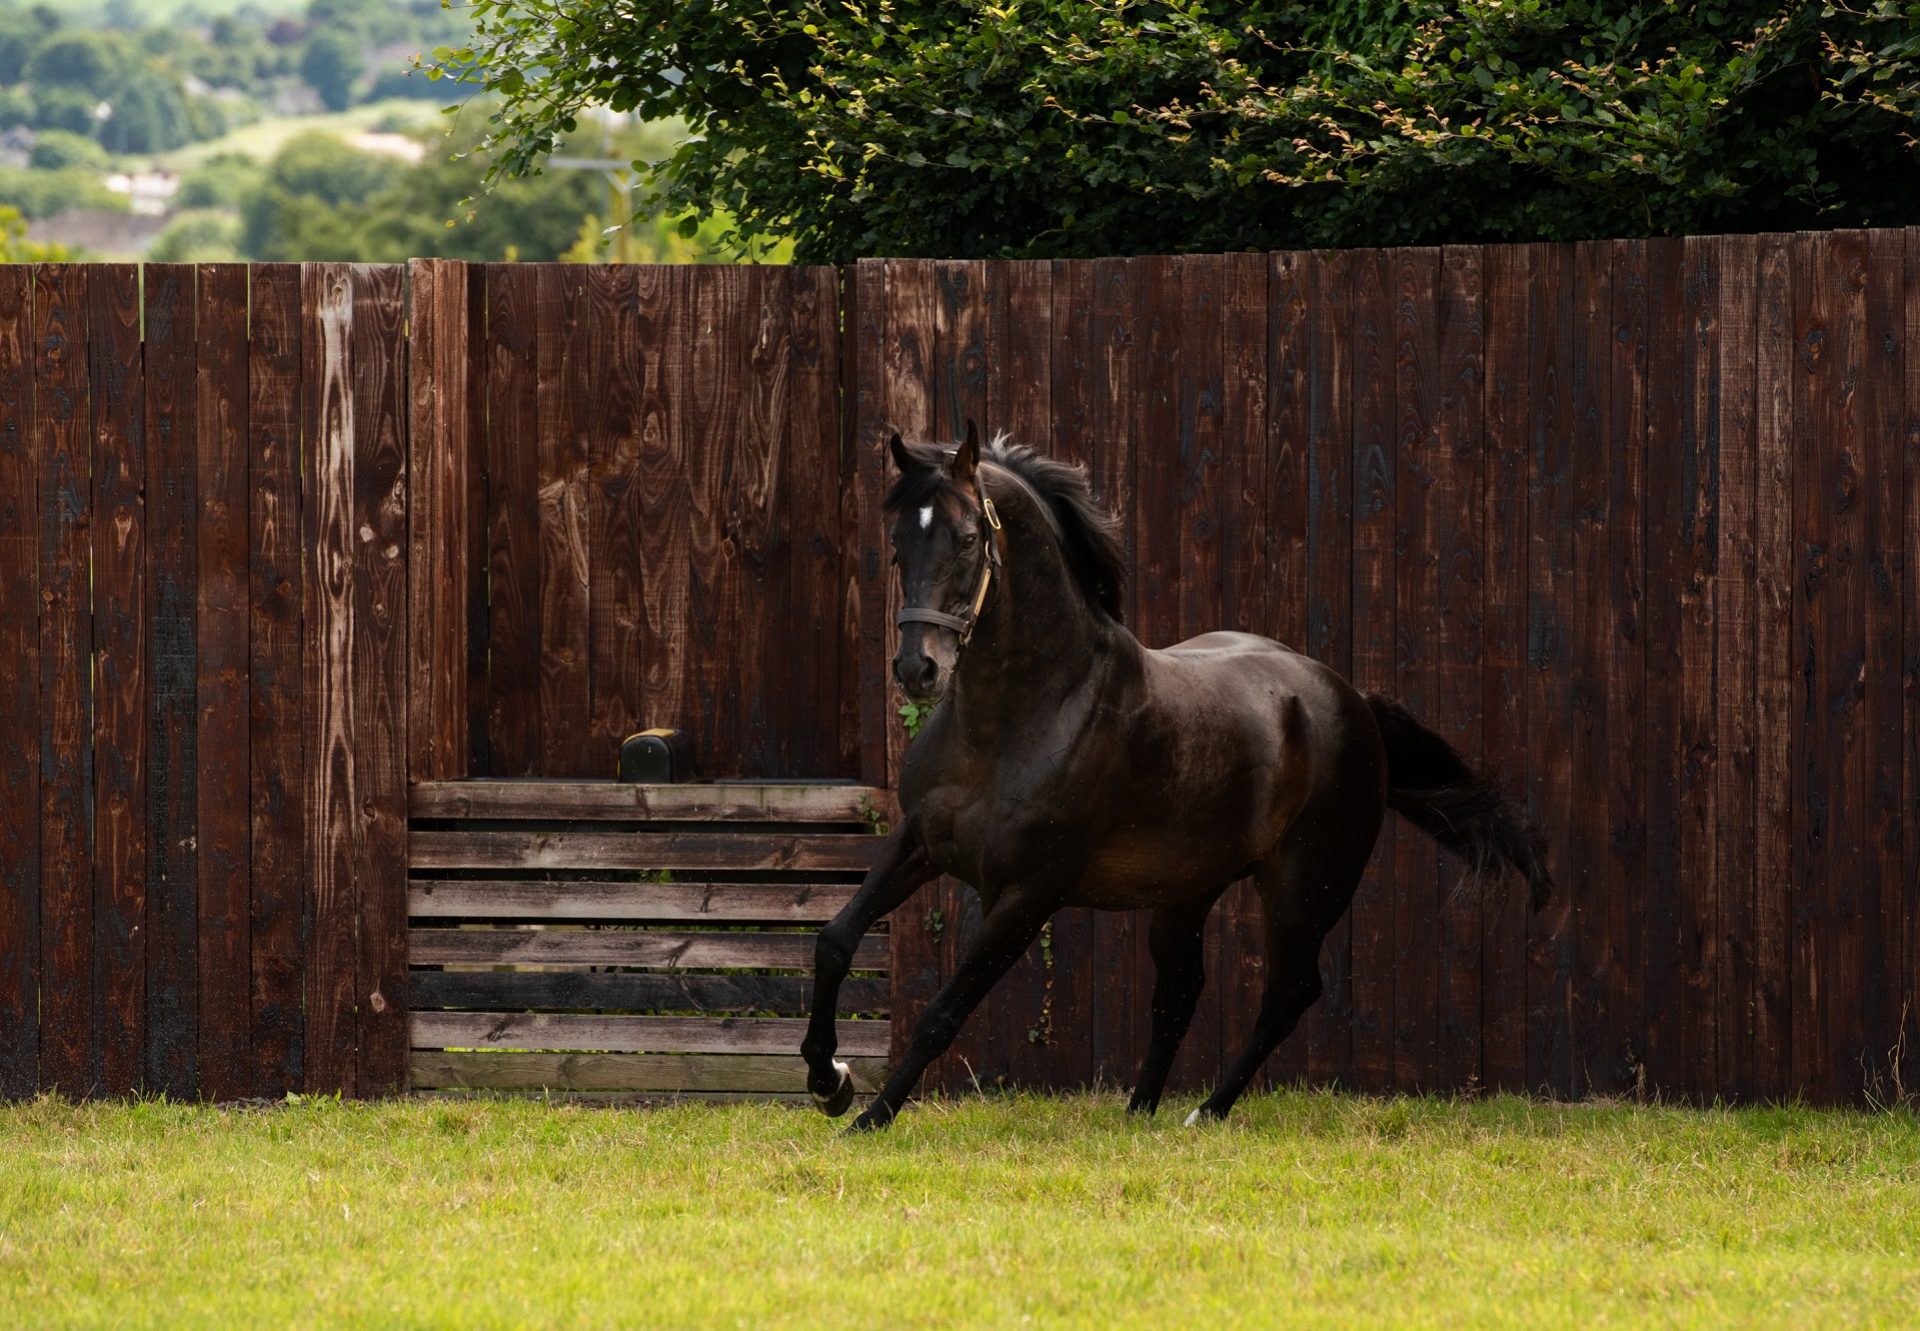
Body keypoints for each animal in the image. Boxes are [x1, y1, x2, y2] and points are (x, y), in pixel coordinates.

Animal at [802, 426, 1551, 1129]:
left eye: (965, 538)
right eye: (898, 542)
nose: (917, 669)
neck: (1019, 716)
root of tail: (1351, 699)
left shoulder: (1028, 893)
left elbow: (943, 1011)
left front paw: (868, 1117)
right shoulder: (919, 842)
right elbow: (835, 940)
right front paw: (828, 1079)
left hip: (1306, 888)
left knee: (1288, 994)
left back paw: (1206, 1112)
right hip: (1187, 891)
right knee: (1181, 992)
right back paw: (1140, 1113)